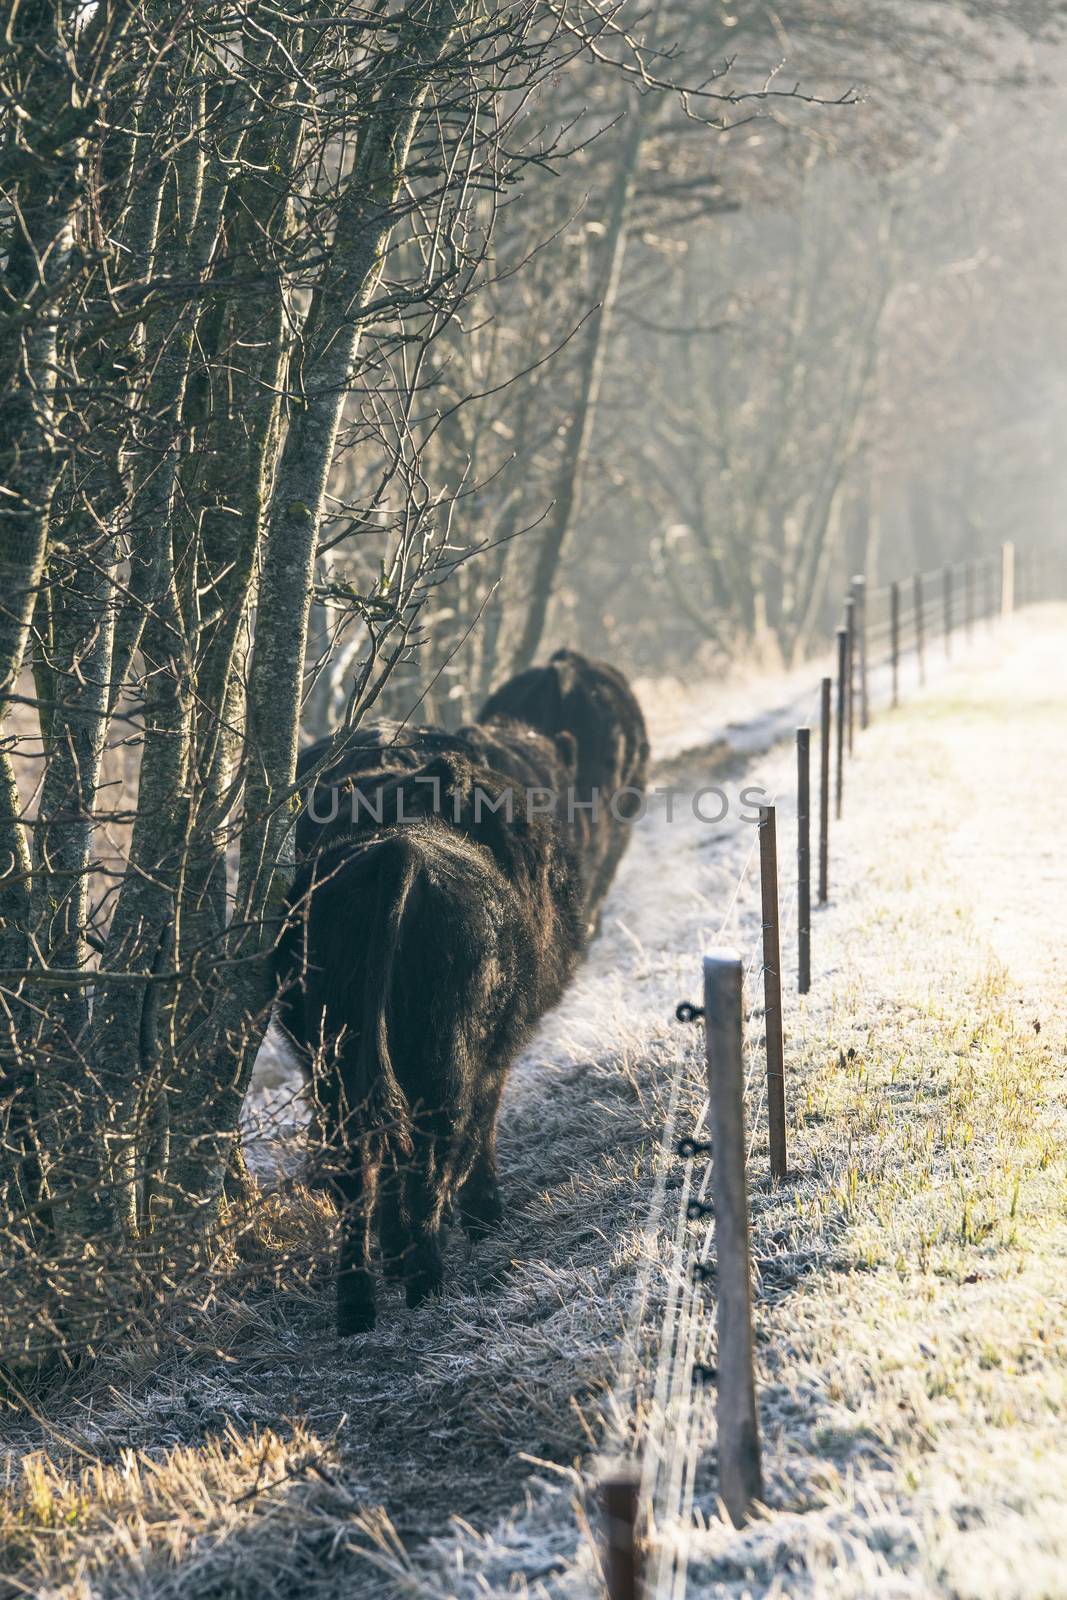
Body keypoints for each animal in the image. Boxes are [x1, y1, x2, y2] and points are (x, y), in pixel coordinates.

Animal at [271, 755, 579, 1331]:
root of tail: (399, 855)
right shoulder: (495, 1060)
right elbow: (481, 1133)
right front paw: (484, 1217)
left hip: (332, 1066)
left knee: (357, 1174)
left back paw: (358, 1308)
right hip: (444, 1060)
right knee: (432, 1157)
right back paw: (426, 1281)